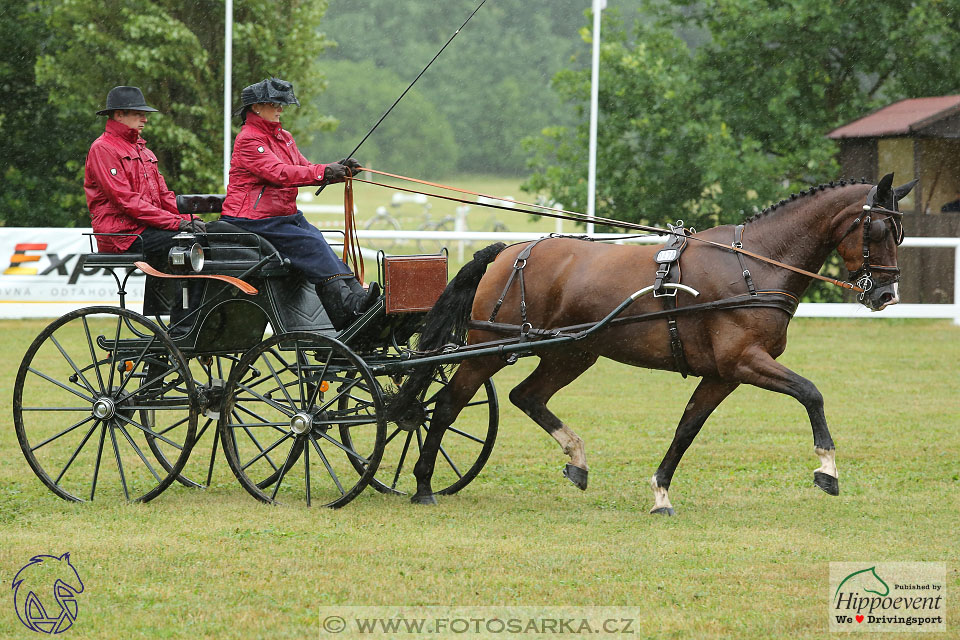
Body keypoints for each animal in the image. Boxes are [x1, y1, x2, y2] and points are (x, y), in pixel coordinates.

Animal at [390, 172, 916, 512]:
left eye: (901, 231)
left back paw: (577, 460)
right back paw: (422, 484)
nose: (886, 295)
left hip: (572, 352)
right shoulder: (745, 361)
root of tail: (513, 251)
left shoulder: (723, 375)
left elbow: (687, 428)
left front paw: (661, 491)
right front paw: (827, 469)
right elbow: (811, 392)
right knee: (447, 404)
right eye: (877, 228)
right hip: (489, 350)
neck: (753, 264)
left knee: (527, 396)